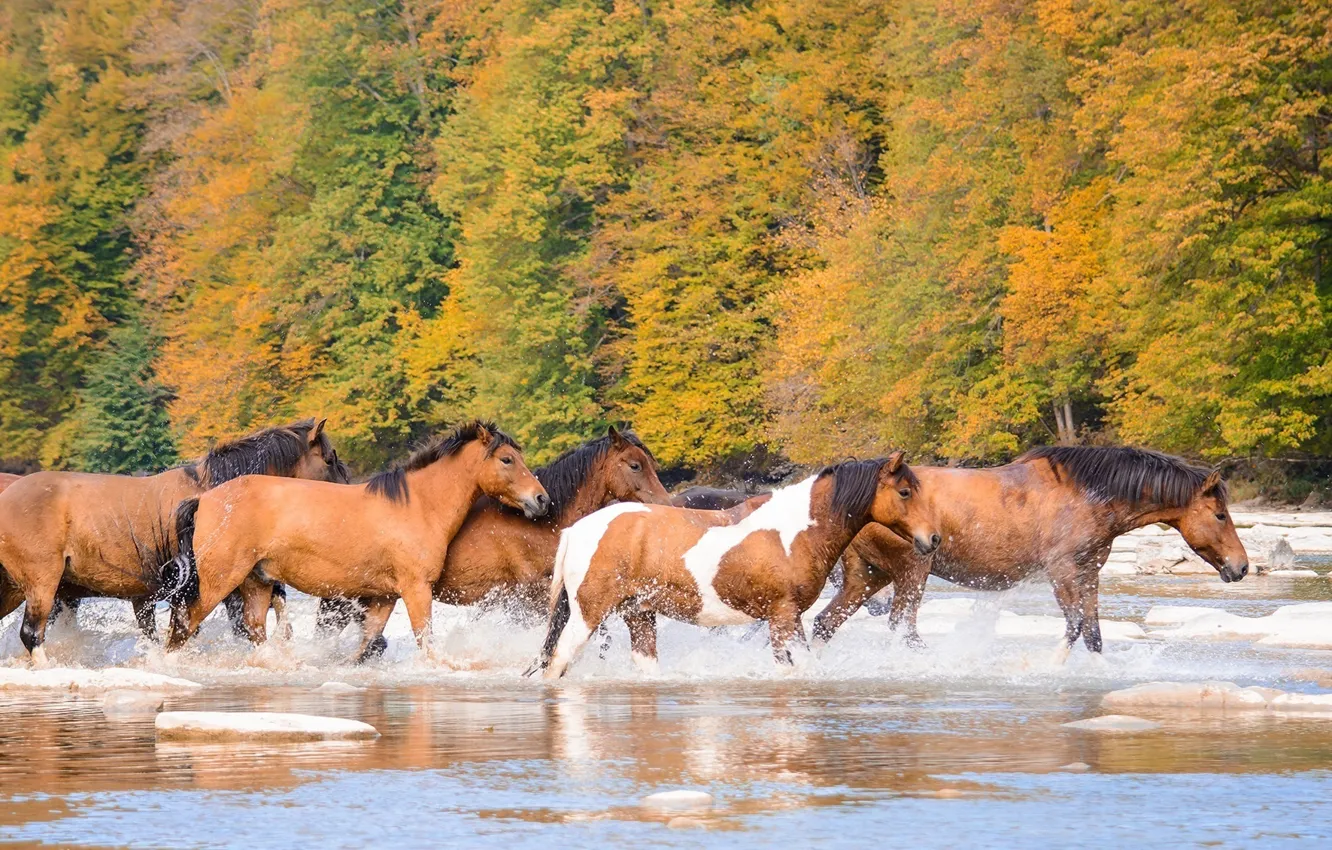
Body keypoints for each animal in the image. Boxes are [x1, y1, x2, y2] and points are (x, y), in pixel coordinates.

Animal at [0, 421, 348, 666]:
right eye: (330, 459)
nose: (345, 496)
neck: (218, 495)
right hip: (41, 583)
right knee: (31, 634)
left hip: (17, 589)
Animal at [169, 423, 548, 663]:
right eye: (507, 459)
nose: (541, 499)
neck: (417, 505)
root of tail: (204, 500)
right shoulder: (416, 590)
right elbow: (424, 639)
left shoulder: (384, 597)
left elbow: (366, 646)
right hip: (217, 583)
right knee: (183, 623)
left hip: (257, 583)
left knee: (254, 629)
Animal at [524, 452, 943, 679]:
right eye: (905, 491)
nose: (933, 539)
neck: (791, 531)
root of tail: (577, 530)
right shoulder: (783, 616)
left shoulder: (788, 618)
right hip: (589, 615)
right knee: (558, 661)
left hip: (639, 614)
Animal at [804, 447, 1252, 660]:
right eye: (1220, 514)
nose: (1242, 566)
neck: (1090, 497)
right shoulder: (1062, 570)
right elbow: (1074, 626)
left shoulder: (1089, 572)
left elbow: (1093, 634)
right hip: (913, 570)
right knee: (903, 627)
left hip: (869, 575)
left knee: (826, 623)